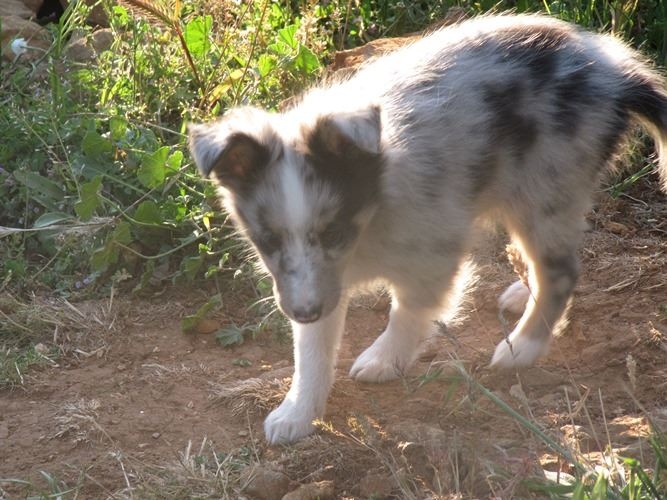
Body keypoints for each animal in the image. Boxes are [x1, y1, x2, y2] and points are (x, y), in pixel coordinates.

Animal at [189, 14, 667, 442]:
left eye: (335, 232)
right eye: (267, 240)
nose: (303, 310)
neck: (373, 208)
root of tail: (616, 72)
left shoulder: (432, 255)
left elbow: (408, 314)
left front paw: (384, 360)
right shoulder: (315, 282)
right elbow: (312, 351)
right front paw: (298, 413)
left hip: (546, 192)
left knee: (561, 272)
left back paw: (522, 347)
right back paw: (520, 294)